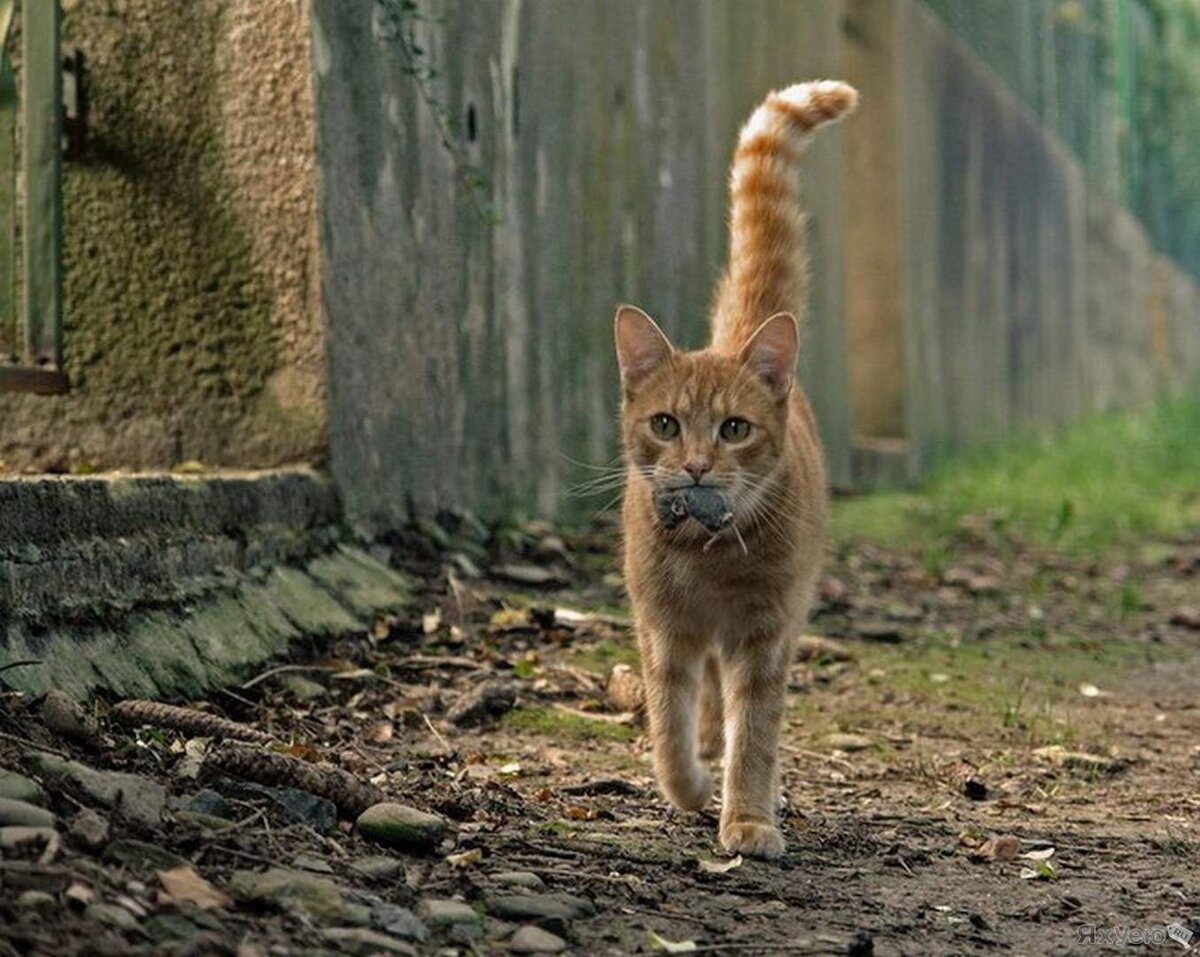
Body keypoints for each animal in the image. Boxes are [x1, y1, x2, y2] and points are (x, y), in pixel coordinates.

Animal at [619, 82, 854, 863]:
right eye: (666, 424)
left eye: (734, 429)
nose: (696, 465)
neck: (707, 553)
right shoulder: (664, 629)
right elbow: (668, 722)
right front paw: (687, 784)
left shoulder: (763, 636)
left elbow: (754, 735)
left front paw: (747, 817)